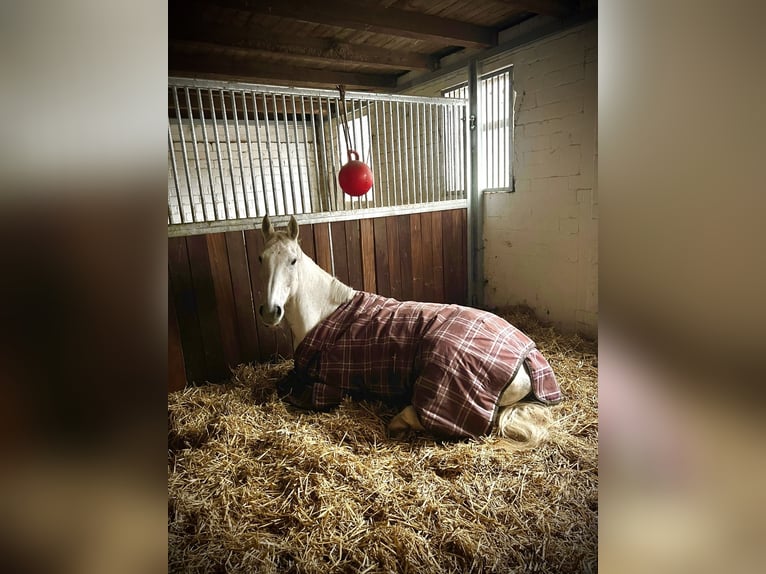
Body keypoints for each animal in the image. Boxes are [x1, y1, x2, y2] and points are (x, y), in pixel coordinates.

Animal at [260, 216, 564, 446]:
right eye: (261, 258)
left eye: (293, 261)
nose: (270, 311)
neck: (326, 312)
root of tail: (526, 357)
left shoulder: (327, 387)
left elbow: (295, 395)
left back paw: (399, 422)